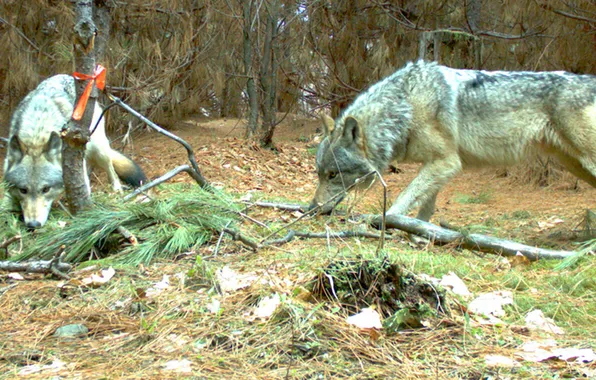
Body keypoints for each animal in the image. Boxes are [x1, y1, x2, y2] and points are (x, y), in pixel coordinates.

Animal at [2, 75, 147, 229]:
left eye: (46, 189)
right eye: (23, 190)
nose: (33, 225)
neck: (37, 134)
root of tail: (67, 75)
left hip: (99, 150)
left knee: (110, 171)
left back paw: (116, 189)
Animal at [310, 60, 596, 221]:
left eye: (333, 175)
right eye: (319, 174)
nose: (312, 209)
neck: (407, 105)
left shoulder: (447, 162)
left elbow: (404, 197)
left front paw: (386, 223)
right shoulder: (437, 165)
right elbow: (425, 205)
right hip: (576, 166)